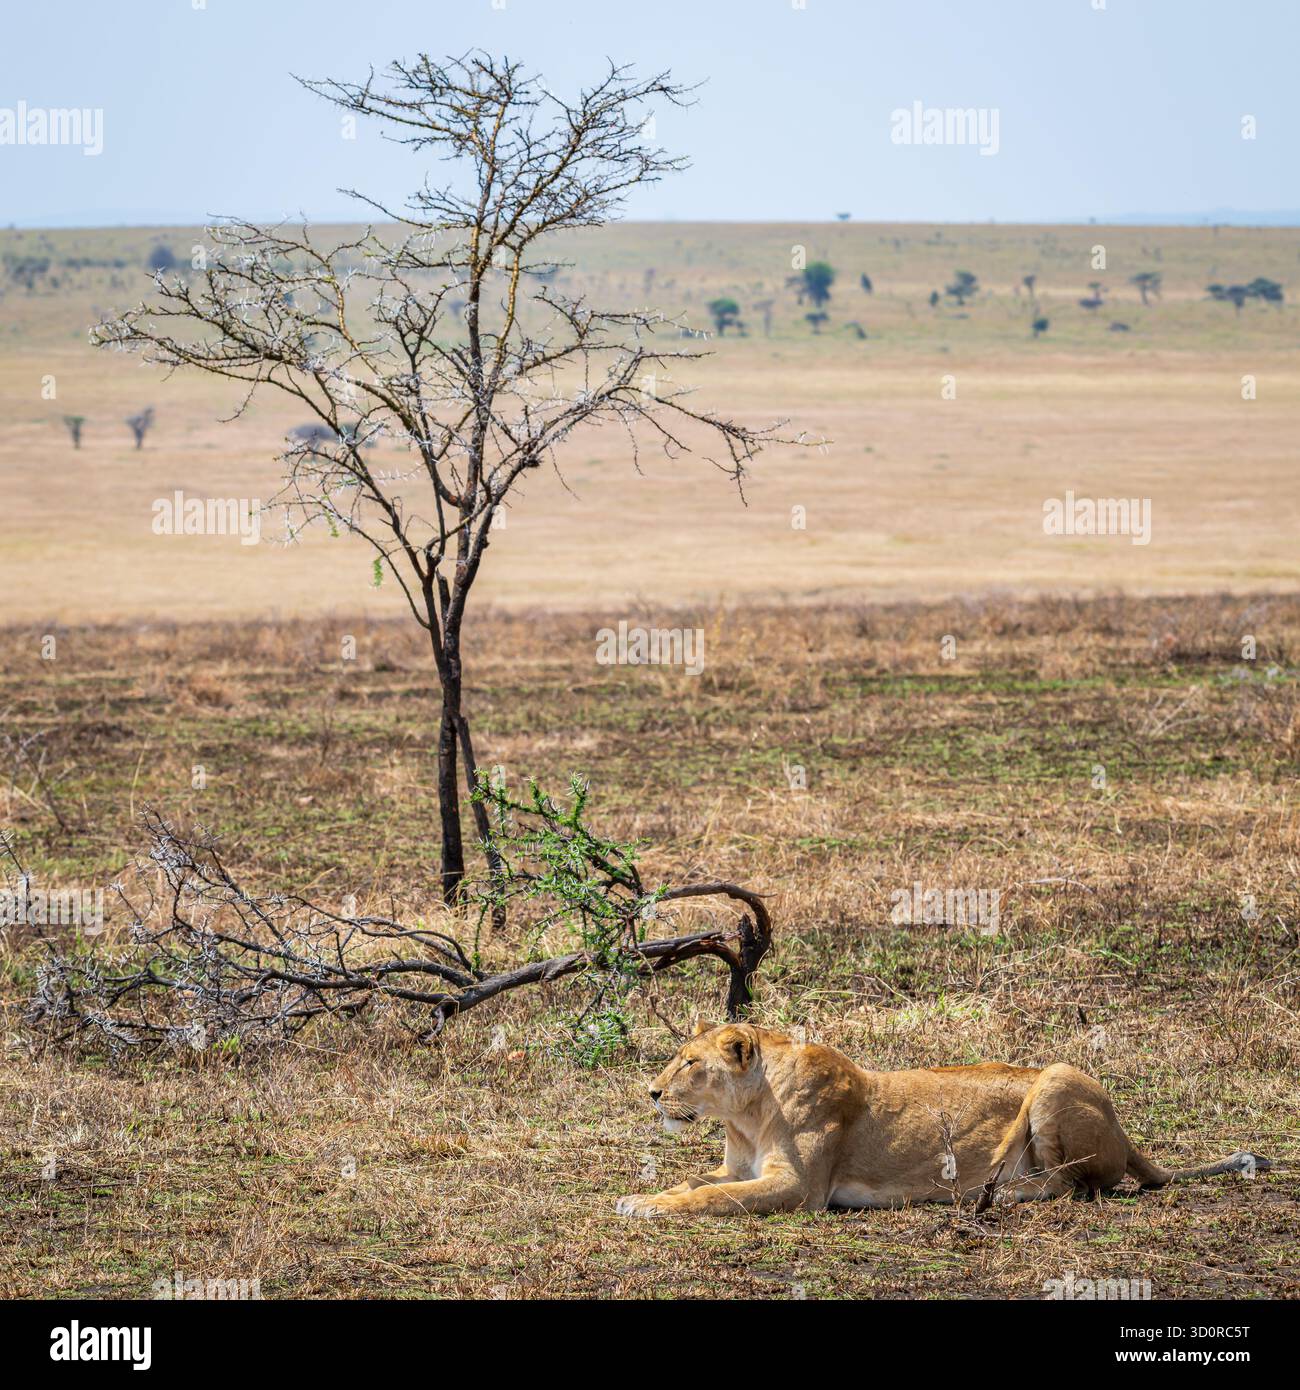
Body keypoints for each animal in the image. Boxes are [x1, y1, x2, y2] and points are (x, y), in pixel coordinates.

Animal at [615, 1021, 1270, 1217]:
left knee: (1075, 1185)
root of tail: (1125, 1131)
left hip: (1058, 1077)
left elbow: (713, 1197)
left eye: (690, 1063)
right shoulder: (742, 1167)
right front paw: (641, 1195)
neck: (747, 1114)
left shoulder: (800, 1188)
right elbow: (698, 1182)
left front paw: (650, 1208)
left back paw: (1000, 1194)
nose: (651, 1092)